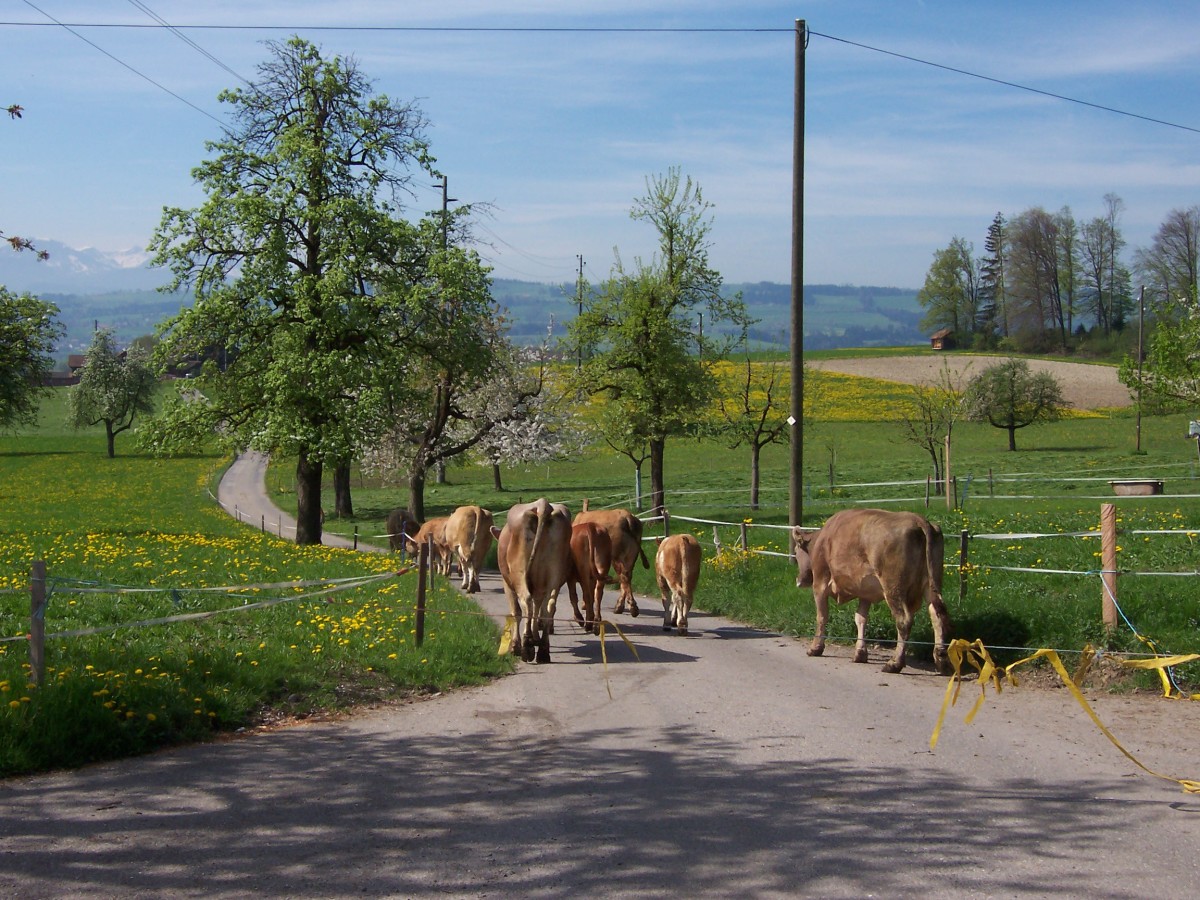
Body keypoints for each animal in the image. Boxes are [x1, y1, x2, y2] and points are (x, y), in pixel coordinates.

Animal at [495, 498, 572, 663]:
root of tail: (543, 504)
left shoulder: (507, 584)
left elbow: (516, 612)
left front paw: (516, 646)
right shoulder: (540, 587)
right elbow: (538, 610)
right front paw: (536, 637)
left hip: (519, 574)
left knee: (526, 601)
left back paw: (527, 646)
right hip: (554, 575)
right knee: (550, 607)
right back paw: (543, 650)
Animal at [792, 508, 951, 675]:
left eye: (796, 552)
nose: (799, 580)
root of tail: (919, 520)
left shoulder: (820, 584)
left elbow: (822, 617)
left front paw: (815, 648)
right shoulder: (865, 591)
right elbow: (860, 618)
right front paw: (860, 653)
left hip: (893, 587)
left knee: (904, 620)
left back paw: (894, 663)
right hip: (932, 584)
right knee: (938, 614)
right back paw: (941, 660)